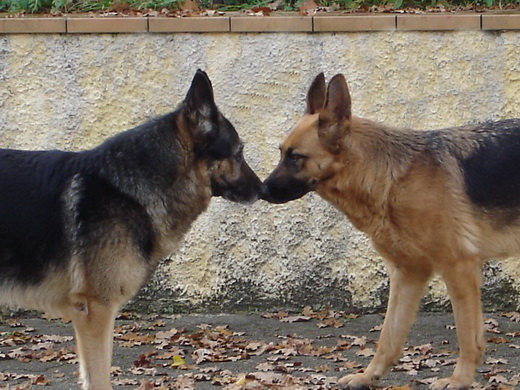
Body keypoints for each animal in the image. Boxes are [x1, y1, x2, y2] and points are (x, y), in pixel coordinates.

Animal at [262, 72, 520, 386]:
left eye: (295, 156)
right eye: (281, 153)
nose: (260, 191)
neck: (391, 176)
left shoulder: (459, 269)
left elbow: (467, 337)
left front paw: (459, 380)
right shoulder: (408, 273)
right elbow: (389, 336)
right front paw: (367, 376)